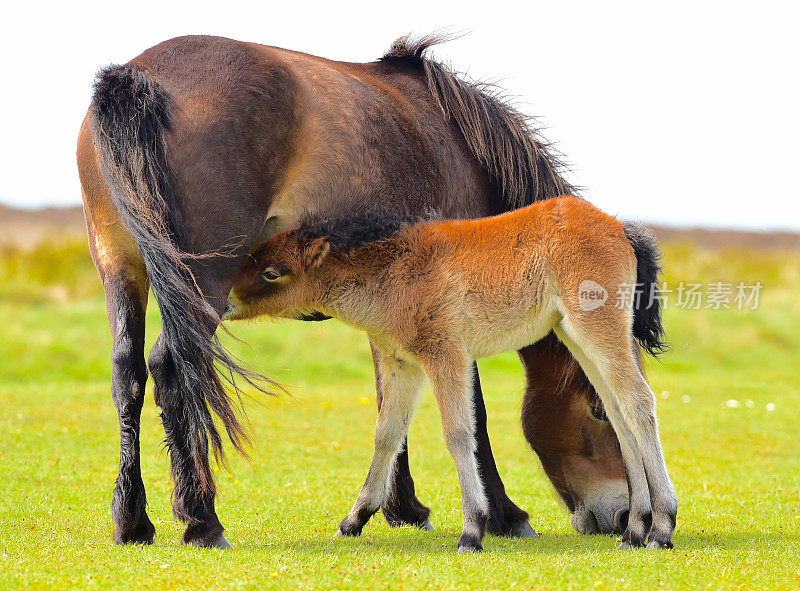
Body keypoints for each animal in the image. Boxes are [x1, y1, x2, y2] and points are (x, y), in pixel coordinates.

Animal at [79, 34, 632, 548]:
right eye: (597, 408)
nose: (624, 513)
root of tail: (135, 77)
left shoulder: (394, 310)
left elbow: (391, 403)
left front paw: (400, 507)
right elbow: (470, 410)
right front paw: (502, 515)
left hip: (121, 270)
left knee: (128, 374)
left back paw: (132, 520)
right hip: (200, 285)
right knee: (172, 367)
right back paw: (202, 520)